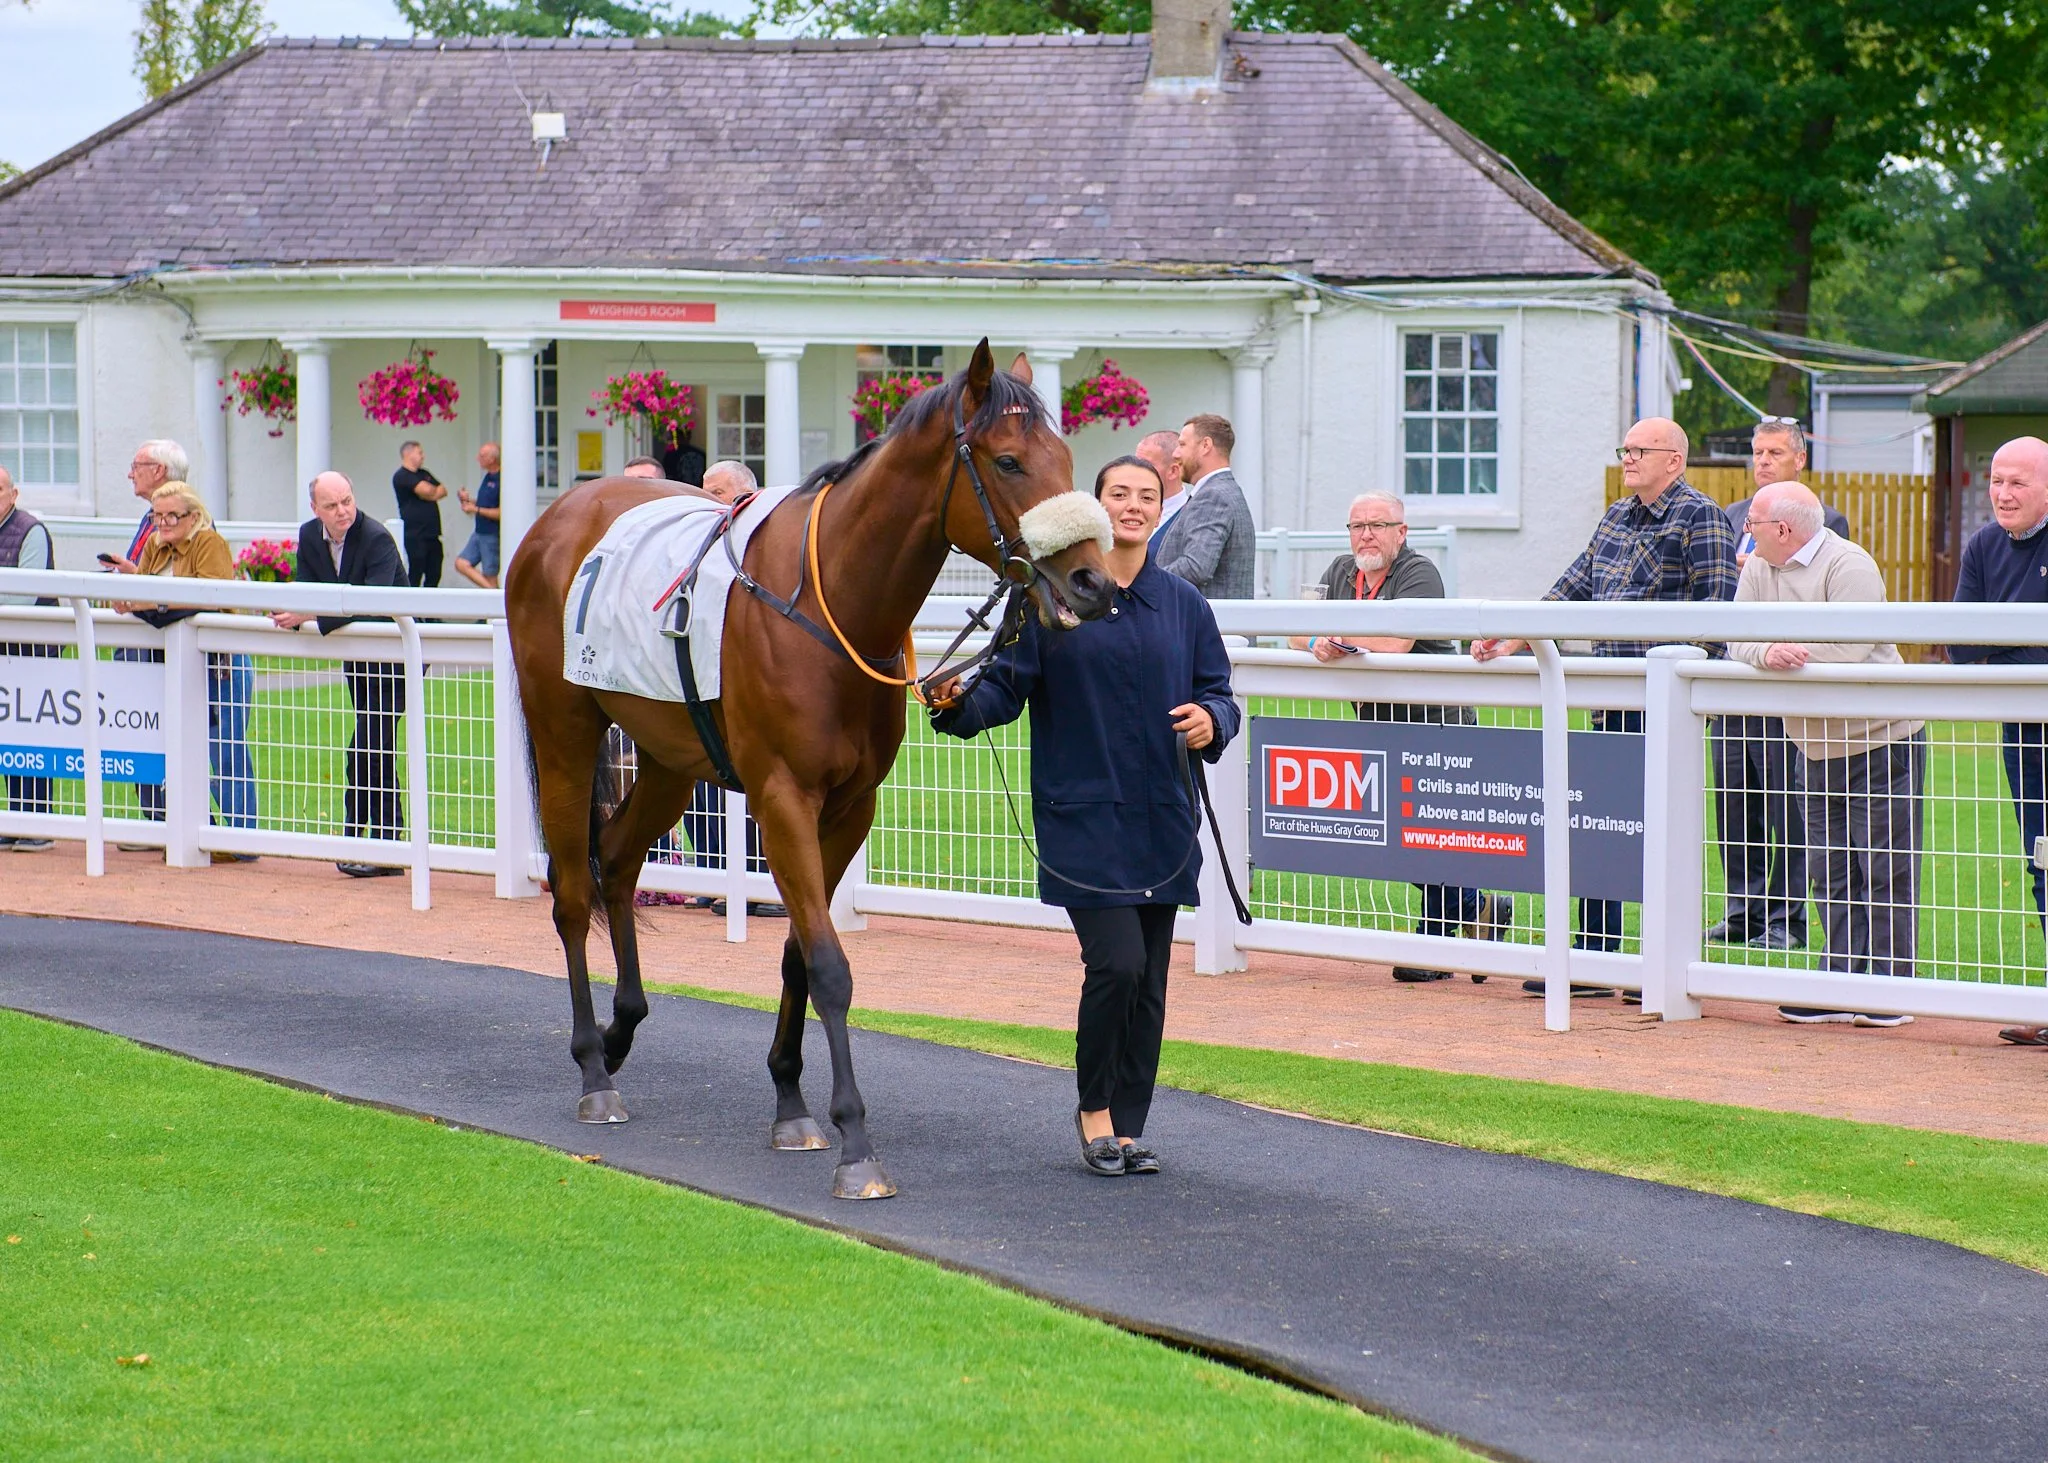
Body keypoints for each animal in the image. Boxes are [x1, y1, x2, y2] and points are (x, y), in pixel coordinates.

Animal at [504, 341, 1115, 1199]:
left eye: (1064, 457)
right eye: (1008, 460)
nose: (1093, 583)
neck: (836, 605)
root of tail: (558, 518)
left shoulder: (850, 805)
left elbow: (800, 946)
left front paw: (792, 1103)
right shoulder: (783, 797)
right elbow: (828, 963)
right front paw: (856, 1142)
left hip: (667, 754)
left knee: (618, 859)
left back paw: (624, 1025)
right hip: (564, 728)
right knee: (570, 892)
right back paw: (595, 1069)